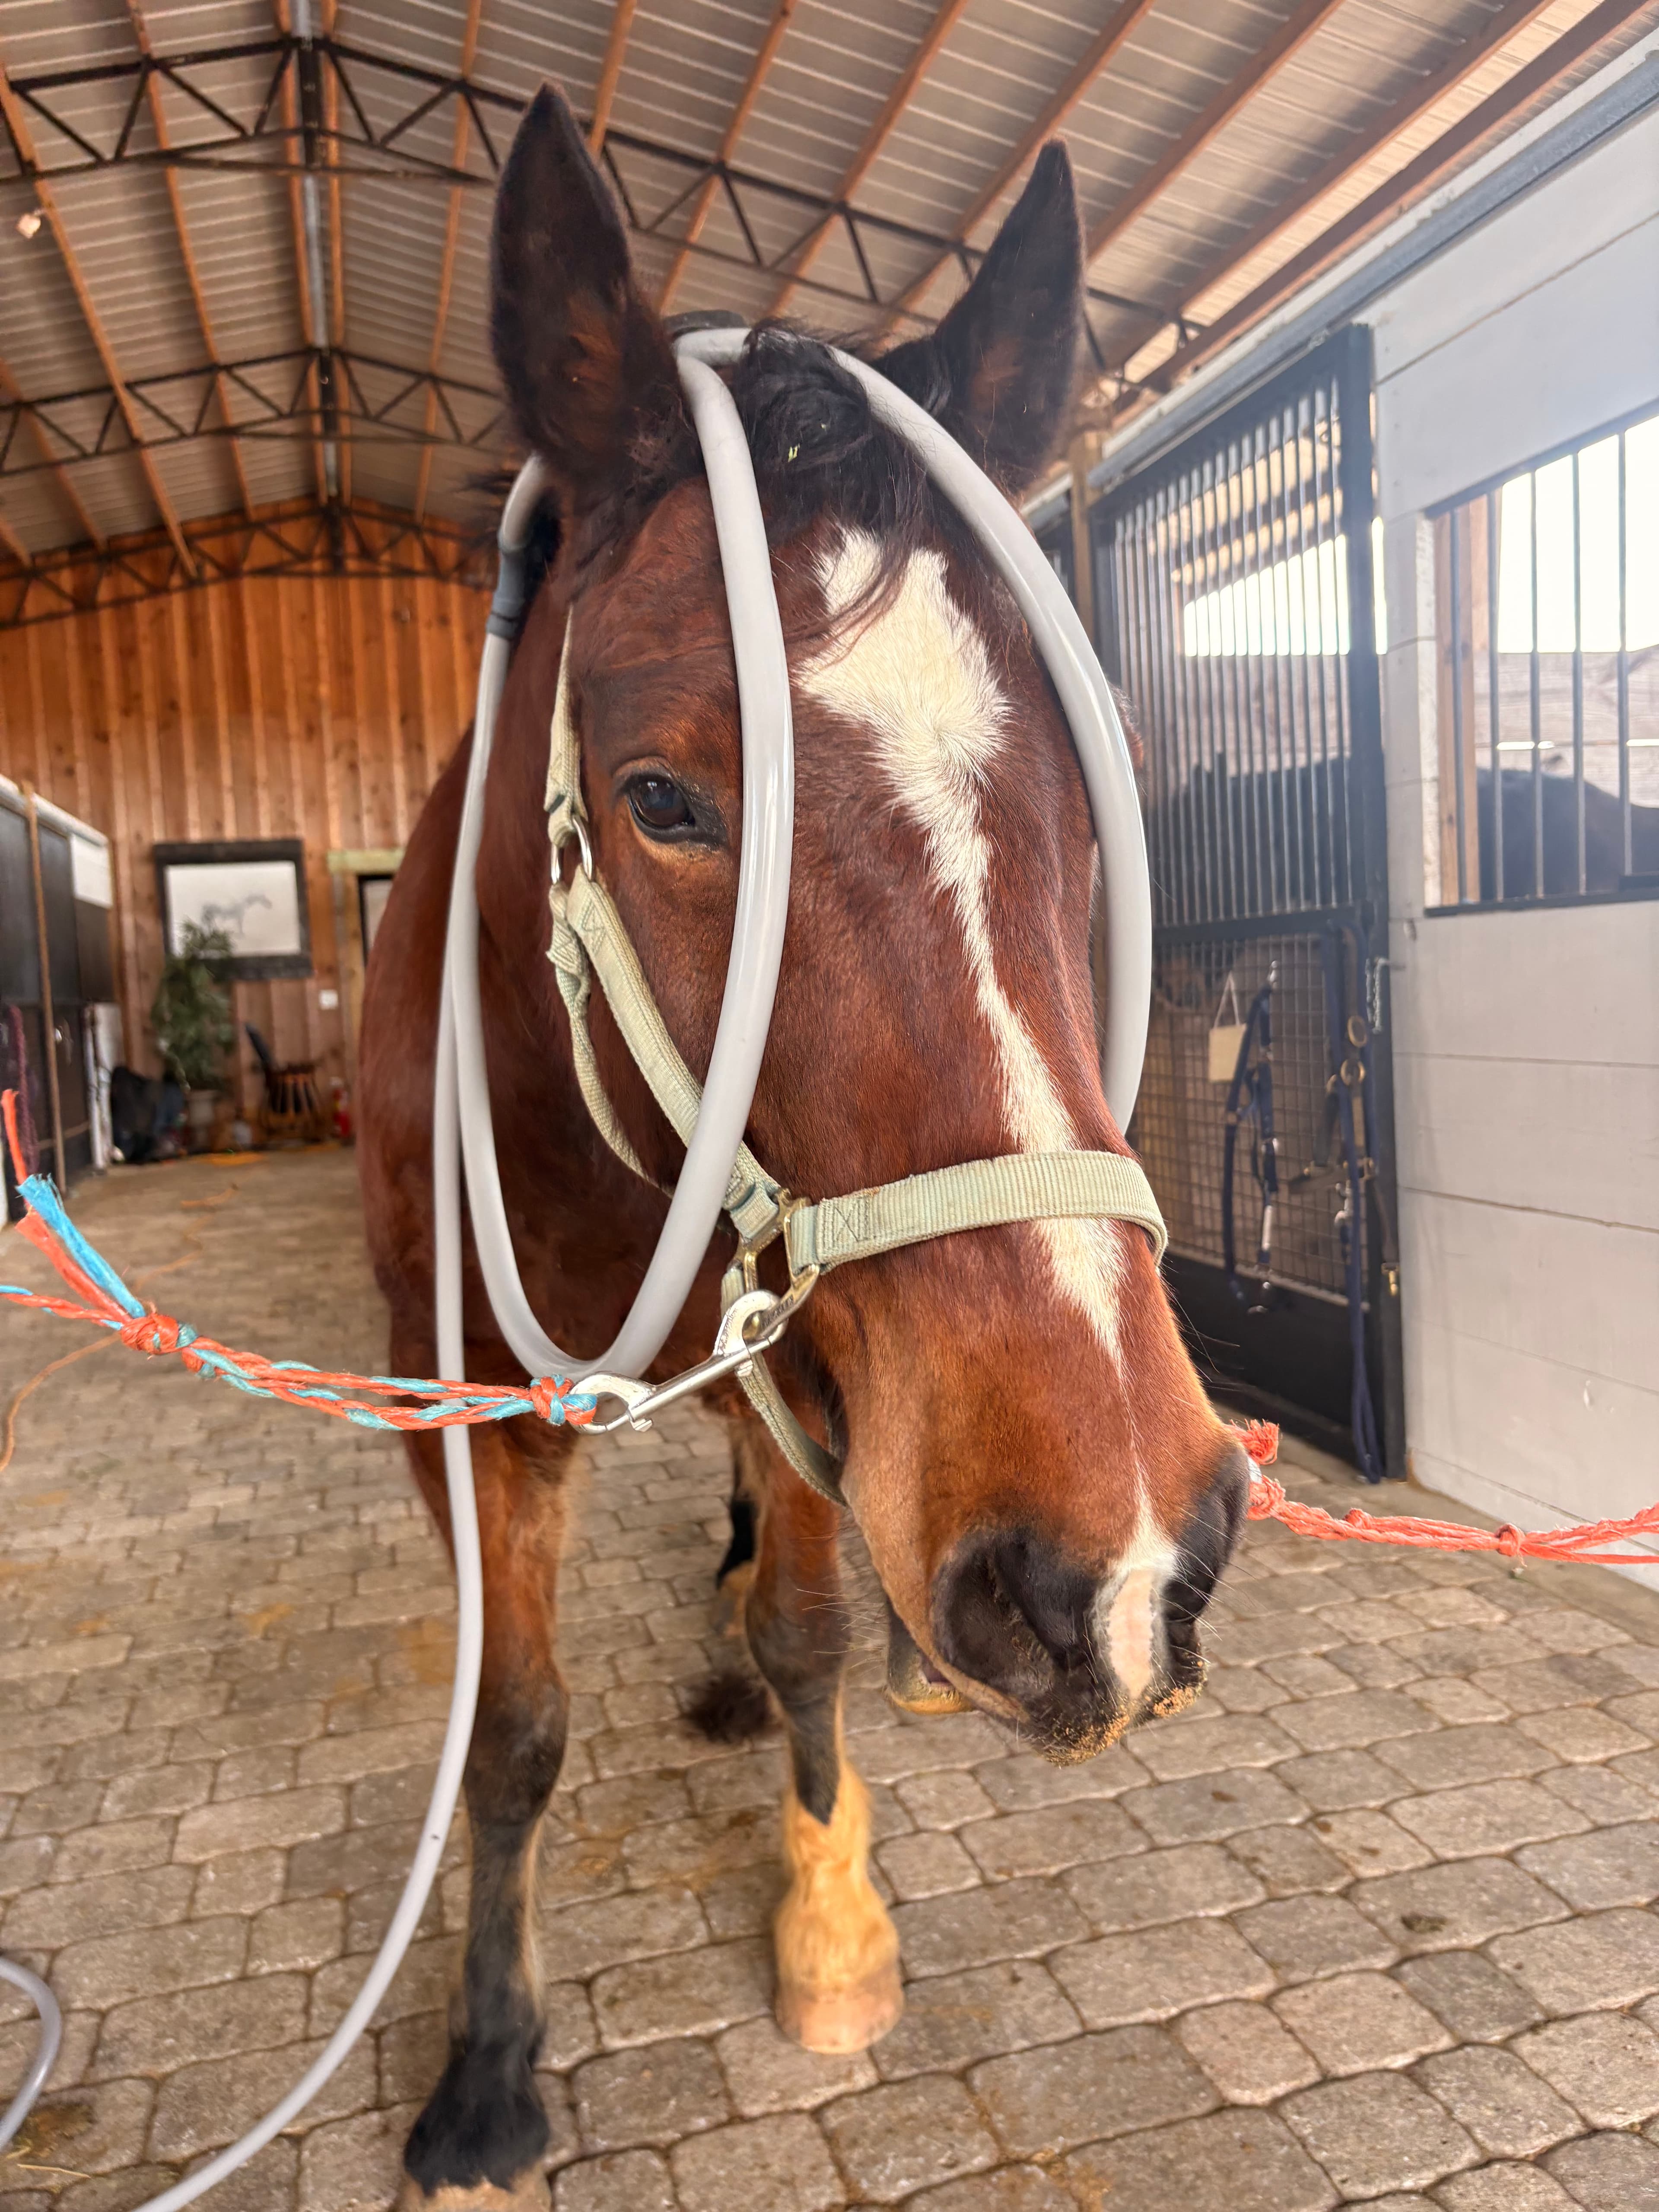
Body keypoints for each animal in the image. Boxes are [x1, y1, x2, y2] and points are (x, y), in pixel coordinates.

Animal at [358, 84, 1250, 2211]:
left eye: (1100, 785)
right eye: (665, 796)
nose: (1123, 1559)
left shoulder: (803, 1353)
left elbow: (810, 1624)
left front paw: (834, 1928)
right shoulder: (446, 1395)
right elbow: (512, 1728)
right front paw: (490, 2063)